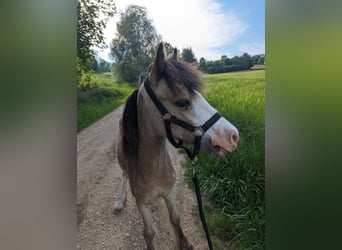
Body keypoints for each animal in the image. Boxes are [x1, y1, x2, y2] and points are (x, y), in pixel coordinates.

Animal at [114, 42, 238, 249]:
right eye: (182, 102)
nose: (232, 136)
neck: (153, 169)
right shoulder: (142, 203)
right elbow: (149, 233)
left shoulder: (169, 193)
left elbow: (175, 219)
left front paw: (184, 242)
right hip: (122, 165)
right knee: (123, 176)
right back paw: (120, 201)